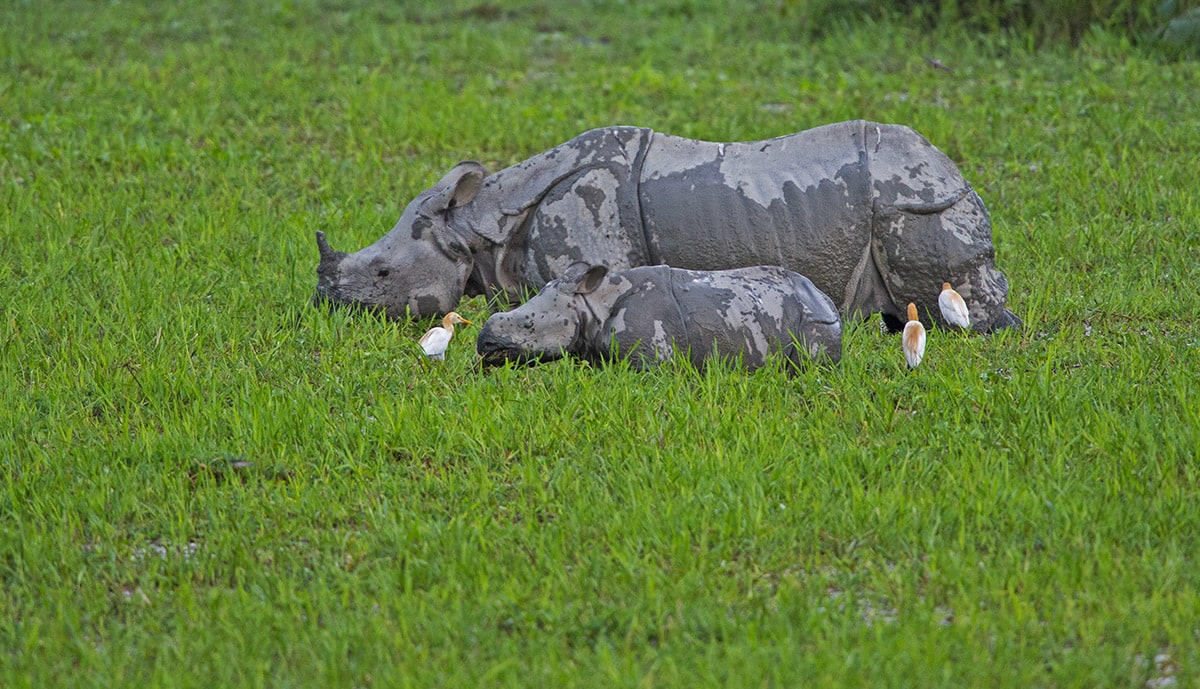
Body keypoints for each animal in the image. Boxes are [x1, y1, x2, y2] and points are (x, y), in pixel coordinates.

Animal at [475, 263, 842, 370]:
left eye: (527, 324)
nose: (484, 344)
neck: (591, 304)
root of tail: (823, 297)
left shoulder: (651, 360)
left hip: (813, 319)